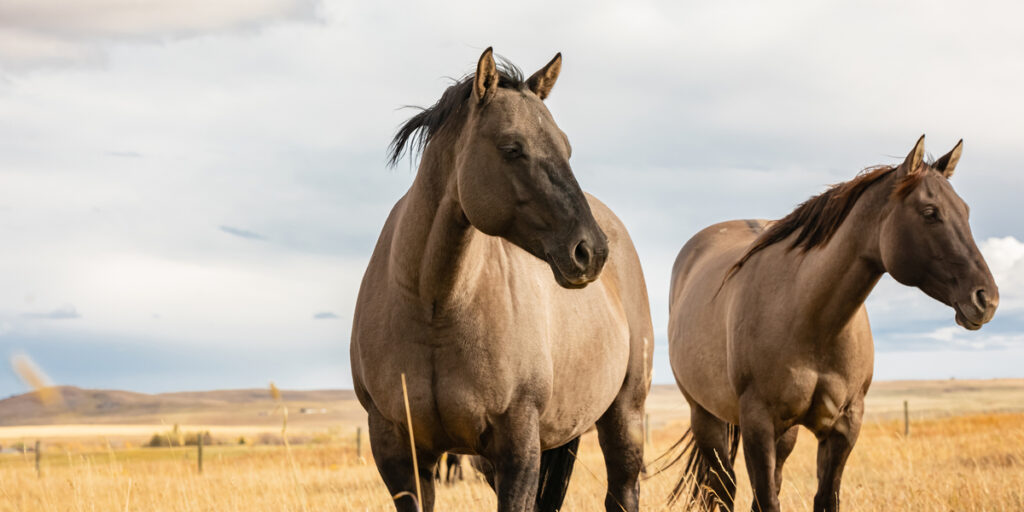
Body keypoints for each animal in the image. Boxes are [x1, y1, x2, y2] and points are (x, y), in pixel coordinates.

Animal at [350, 46, 655, 509]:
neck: (435, 304)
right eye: (513, 148)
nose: (591, 251)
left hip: (624, 416)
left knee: (622, 491)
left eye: (566, 147)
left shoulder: (518, 445)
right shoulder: (400, 453)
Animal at [663, 137, 999, 512]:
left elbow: (823, 497)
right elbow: (765, 498)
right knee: (722, 488)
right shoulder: (757, 424)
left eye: (965, 211)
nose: (986, 299)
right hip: (705, 417)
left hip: (785, 433)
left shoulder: (843, 427)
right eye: (930, 212)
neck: (809, 319)